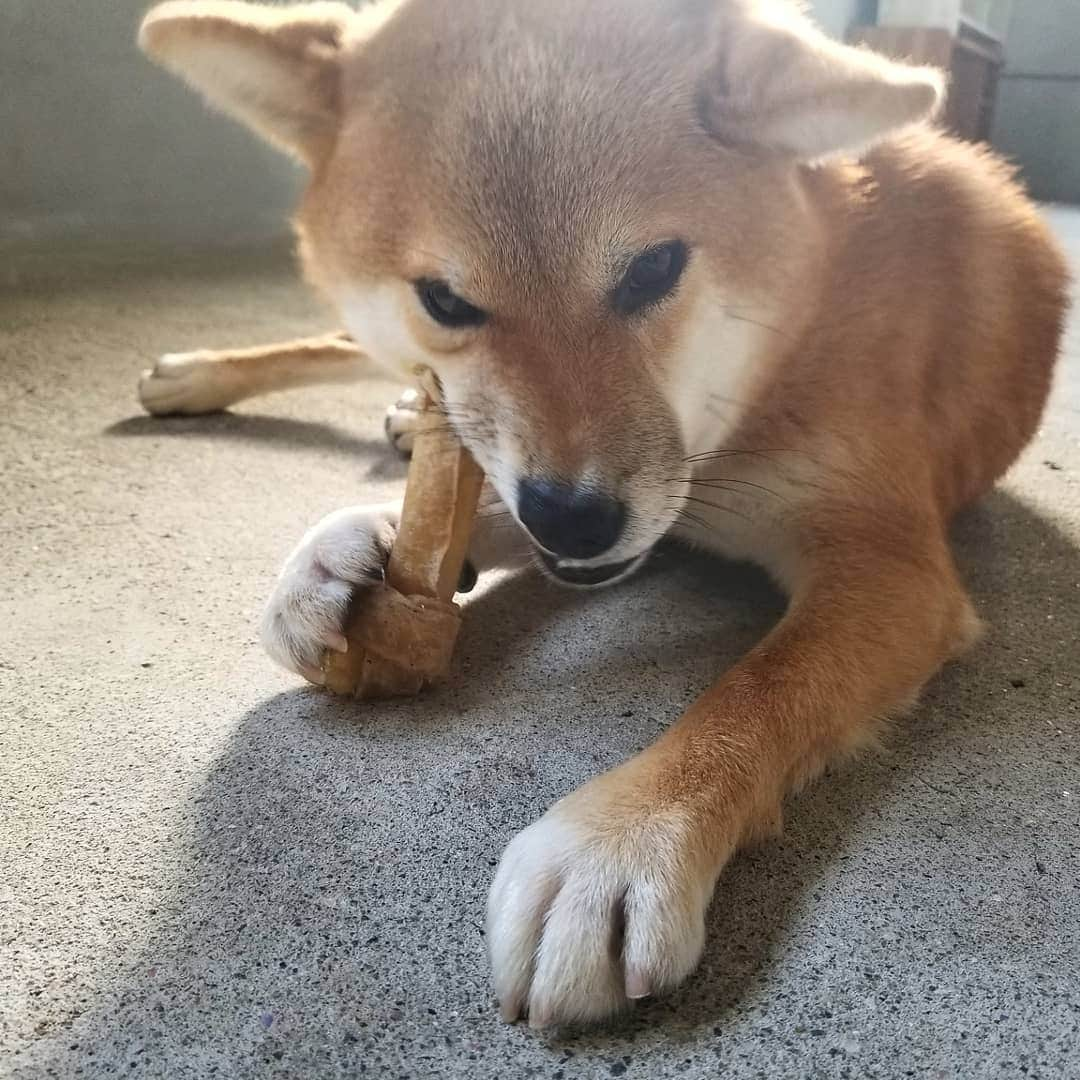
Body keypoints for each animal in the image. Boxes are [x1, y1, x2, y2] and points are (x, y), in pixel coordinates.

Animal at [139, 0, 1067, 1028]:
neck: (793, 338)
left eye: (654, 269)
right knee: (344, 342)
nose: (574, 523)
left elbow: (755, 690)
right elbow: (476, 502)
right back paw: (206, 376)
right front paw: (346, 550)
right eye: (446, 299)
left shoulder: (886, 566)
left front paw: (620, 842)